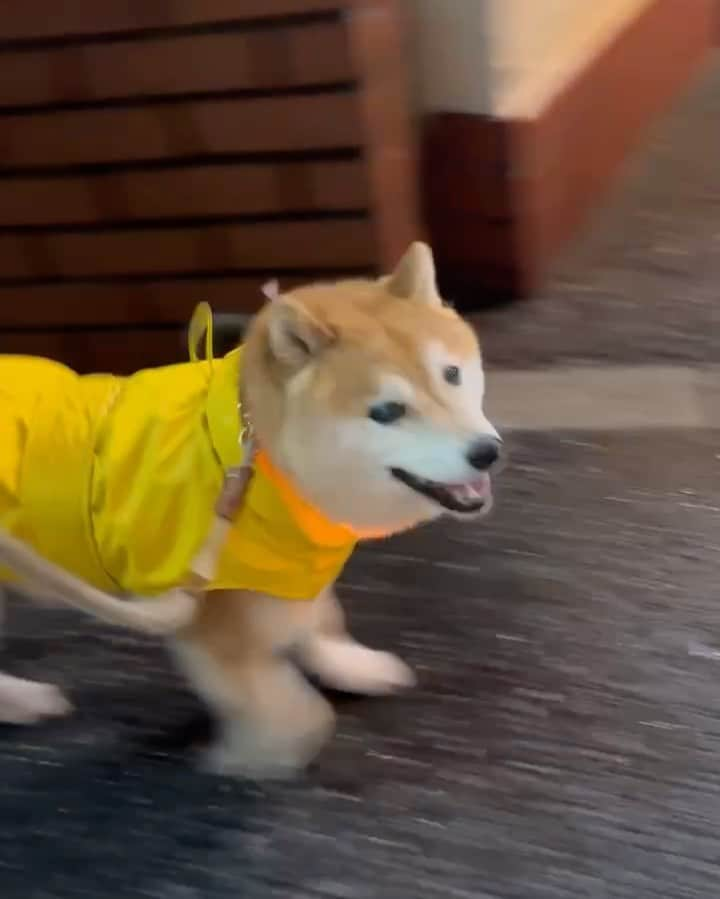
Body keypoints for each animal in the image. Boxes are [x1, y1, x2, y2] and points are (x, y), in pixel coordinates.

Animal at [0, 243, 500, 776]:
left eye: (451, 374)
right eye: (386, 412)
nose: (486, 452)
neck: (262, 464)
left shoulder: (291, 568)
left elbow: (320, 620)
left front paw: (348, 665)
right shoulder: (208, 618)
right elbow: (300, 715)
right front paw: (245, 759)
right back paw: (22, 700)